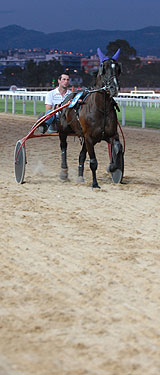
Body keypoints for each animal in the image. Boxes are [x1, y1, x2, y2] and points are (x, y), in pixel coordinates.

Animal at [58, 47, 124, 188]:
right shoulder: (89, 137)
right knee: (63, 147)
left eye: (117, 69)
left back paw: (80, 177)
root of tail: (67, 99)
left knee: (81, 155)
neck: (102, 109)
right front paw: (95, 184)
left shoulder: (111, 135)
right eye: (104, 69)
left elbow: (118, 148)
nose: (114, 88)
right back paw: (64, 172)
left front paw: (112, 167)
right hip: (63, 131)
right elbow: (93, 162)